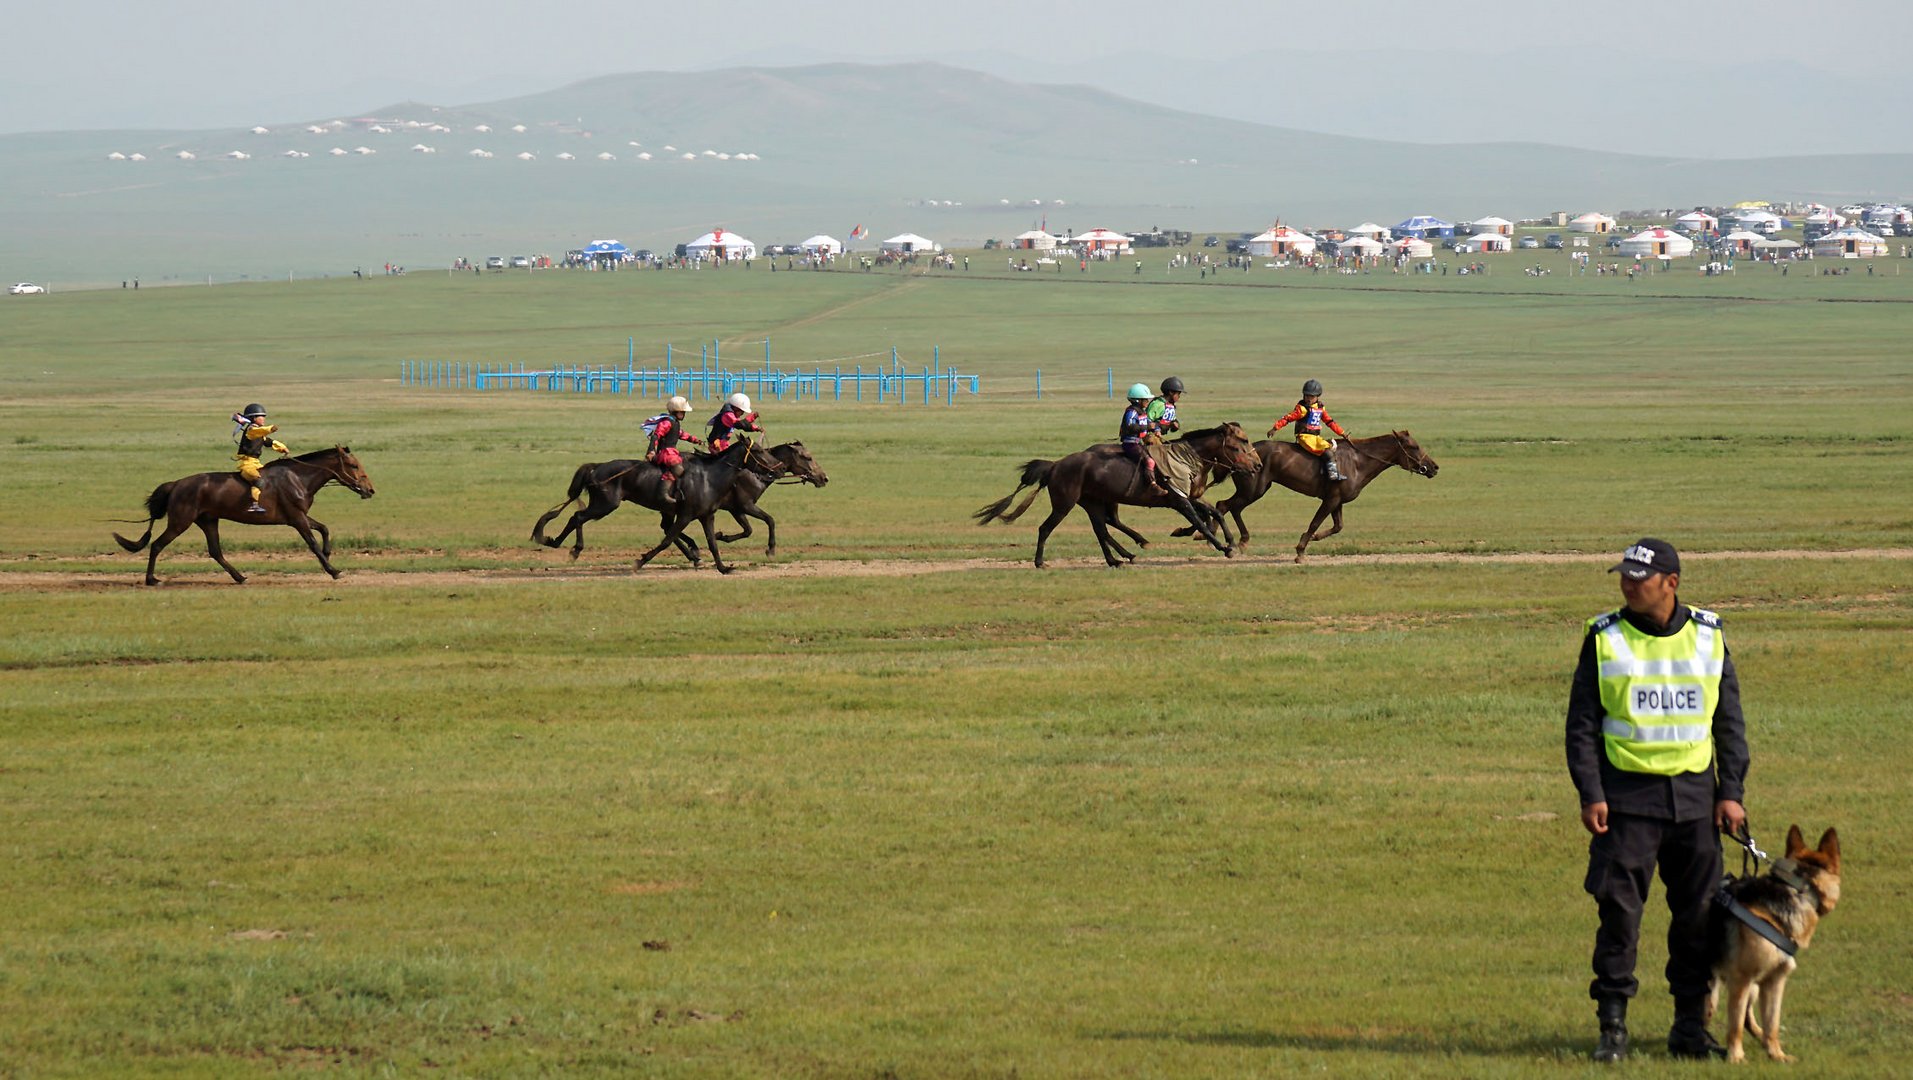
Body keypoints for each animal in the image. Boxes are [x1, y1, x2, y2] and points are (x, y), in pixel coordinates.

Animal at [117, 443, 378, 584]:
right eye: (354, 465)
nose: (370, 490)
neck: (298, 478)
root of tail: (177, 484)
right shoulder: (297, 518)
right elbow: (312, 543)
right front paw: (333, 571)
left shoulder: (299, 516)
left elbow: (324, 528)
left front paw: (328, 552)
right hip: (181, 522)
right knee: (157, 545)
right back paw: (151, 579)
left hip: (208, 520)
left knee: (215, 551)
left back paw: (240, 577)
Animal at [971, 426, 1270, 569]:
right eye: (1238, 445)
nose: (1256, 465)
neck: (1185, 458)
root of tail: (1055, 465)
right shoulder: (1178, 500)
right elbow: (1199, 519)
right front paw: (1223, 546)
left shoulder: (1188, 496)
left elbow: (1214, 512)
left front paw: (1229, 541)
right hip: (1065, 503)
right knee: (1047, 528)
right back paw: (1040, 562)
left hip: (1092, 502)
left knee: (1102, 529)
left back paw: (1119, 557)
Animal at [1170, 430, 1438, 565]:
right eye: (1413, 446)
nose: (1434, 467)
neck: (1358, 461)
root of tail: (1247, 455)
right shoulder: (1330, 500)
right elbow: (1315, 523)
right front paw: (1300, 551)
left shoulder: (1337, 501)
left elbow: (1337, 526)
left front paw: (1314, 540)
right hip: (1253, 490)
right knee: (1224, 505)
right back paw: (1214, 537)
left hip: (1255, 490)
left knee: (1229, 507)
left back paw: (1229, 538)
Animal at [1714, 825, 1844, 1062]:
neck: (1799, 890)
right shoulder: (1741, 979)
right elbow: (1735, 1025)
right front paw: (1736, 1058)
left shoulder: (1774, 981)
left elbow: (1772, 1022)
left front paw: (1777, 1055)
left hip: (1755, 987)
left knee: (1750, 1019)